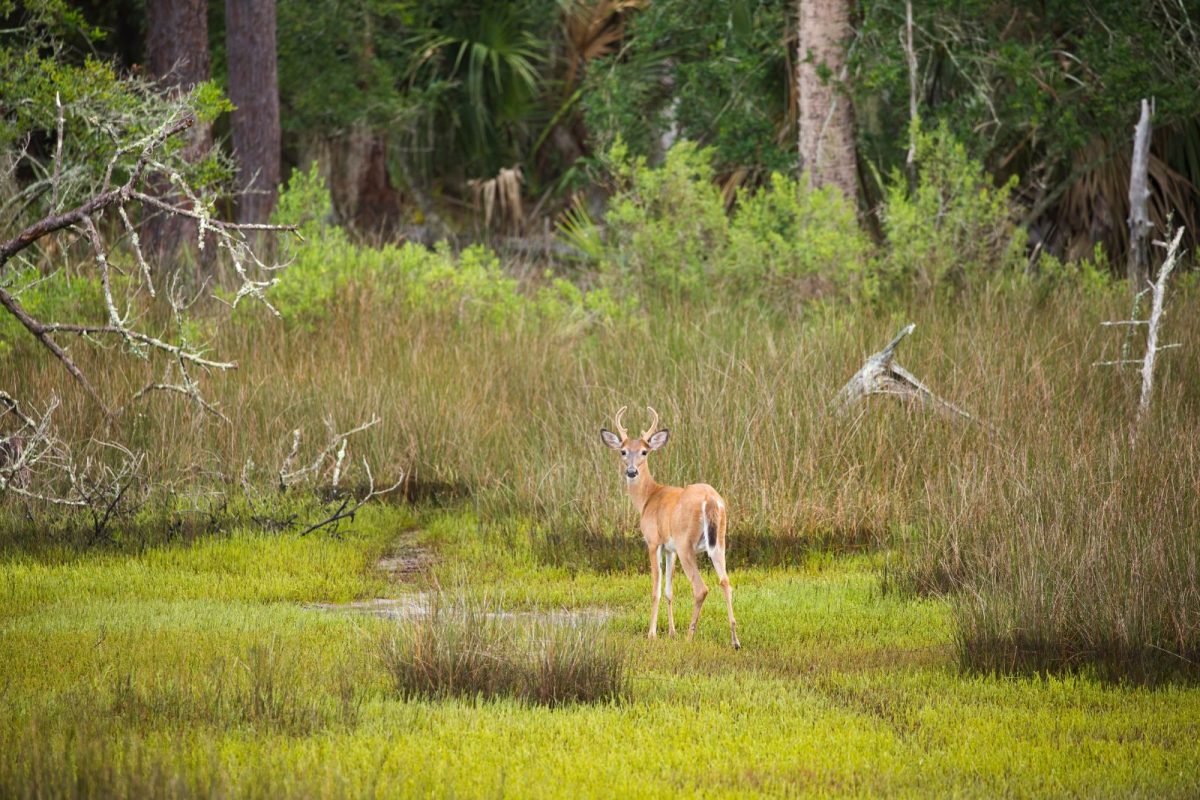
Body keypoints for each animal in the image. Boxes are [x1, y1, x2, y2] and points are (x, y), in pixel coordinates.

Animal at [600, 407, 739, 652]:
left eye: (644, 452)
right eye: (623, 451)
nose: (631, 471)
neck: (648, 498)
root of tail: (711, 500)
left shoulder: (653, 542)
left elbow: (655, 589)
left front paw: (652, 634)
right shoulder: (669, 548)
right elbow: (668, 590)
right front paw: (671, 632)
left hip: (686, 543)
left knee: (701, 588)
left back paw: (689, 637)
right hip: (719, 541)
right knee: (726, 582)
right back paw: (735, 640)